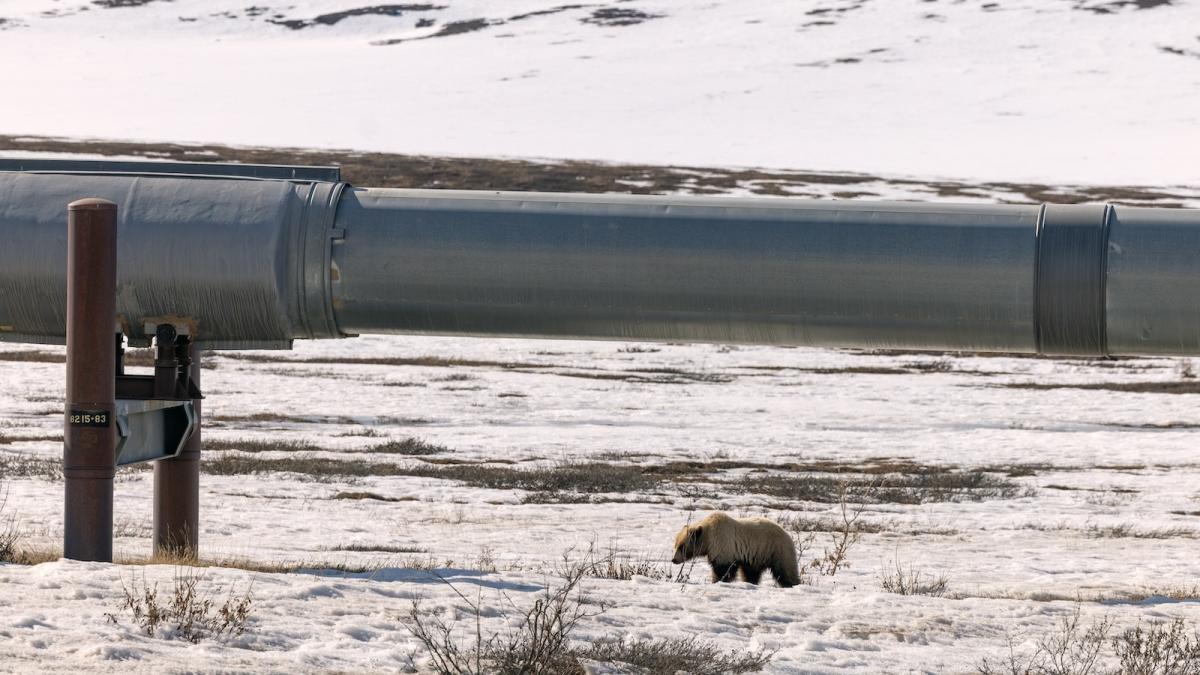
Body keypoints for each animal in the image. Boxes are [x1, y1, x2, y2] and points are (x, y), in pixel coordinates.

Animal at [671, 512, 800, 587]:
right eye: (675, 545)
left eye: (681, 546)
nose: (674, 560)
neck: (708, 536)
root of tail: (788, 534)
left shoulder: (722, 544)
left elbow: (723, 569)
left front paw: (718, 581)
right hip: (756, 556)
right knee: (751, 572)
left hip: (776, 549)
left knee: (785, 570)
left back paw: (792, 584)